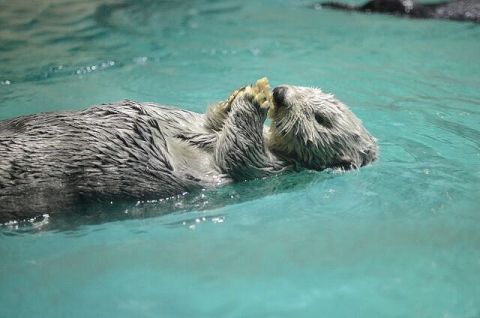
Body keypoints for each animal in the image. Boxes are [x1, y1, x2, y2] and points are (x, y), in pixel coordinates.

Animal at [0, 78, 376, 222]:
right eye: (305, 88)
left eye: (321, 118)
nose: (281, 93)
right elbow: (208, 124)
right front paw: (234, 97)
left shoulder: (270, 169)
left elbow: (239, 153)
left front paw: (253, 100)